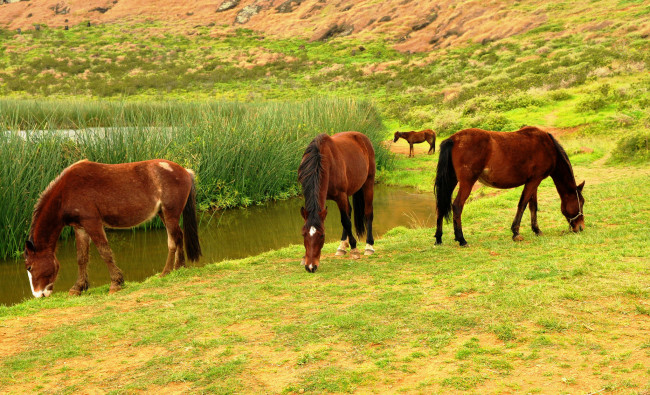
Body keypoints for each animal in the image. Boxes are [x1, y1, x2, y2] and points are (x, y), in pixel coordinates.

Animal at [23, 159, 200, 298]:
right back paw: (174, 269)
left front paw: (116, 283)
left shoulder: (92, 223)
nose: (38, 294)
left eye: (29, 267)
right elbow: (81, 258)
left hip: (170, 214)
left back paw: (172, 269)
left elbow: (105, 253)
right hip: (163, 214)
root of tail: (184, 171)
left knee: (175, 239)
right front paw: (78, 287)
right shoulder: (80, 228)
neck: (66, 192)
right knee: (175, 238)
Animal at [294, 131, 372, 274]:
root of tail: (361, 136)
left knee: (368, 213)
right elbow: (346, 218)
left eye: (322, 235)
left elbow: (345, 221)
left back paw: (369, 246)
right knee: (349, 211)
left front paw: (354, 250)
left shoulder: (340, 195)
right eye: (303, 234)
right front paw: (303, 257)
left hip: (368, 182)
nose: (311, 267)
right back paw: (342, 246)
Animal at [436, 127, 584, 246]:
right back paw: (461, 239)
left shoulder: (533, 182)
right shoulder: (534, 181)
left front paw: (536, 230)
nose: (581, 227)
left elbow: (533, 206)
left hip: (451, 180)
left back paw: (438, 238)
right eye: (581, 202)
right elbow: (523, 204)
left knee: (441, 206)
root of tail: (453, 139)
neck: (547, 146)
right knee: (457, 206)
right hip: (467, 182)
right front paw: (516, 233)